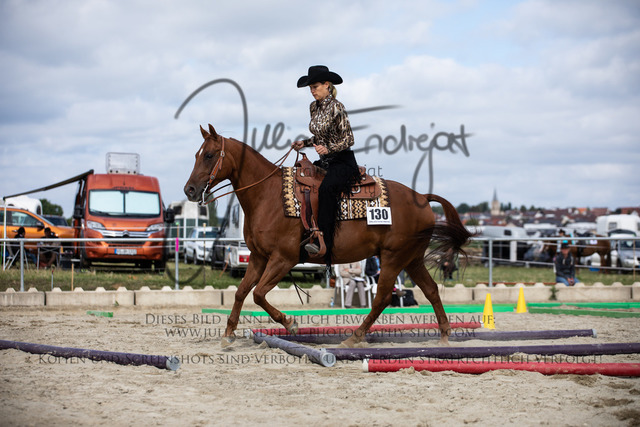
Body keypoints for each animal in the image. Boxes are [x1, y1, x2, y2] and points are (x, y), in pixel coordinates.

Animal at [184, 124, 472, 348]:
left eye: (209, 155)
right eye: (196, 154)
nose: (189, 190)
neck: (267, 195)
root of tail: (422, 198)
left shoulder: (283, 259)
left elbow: (258, 294)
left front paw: (290, 323)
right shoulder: (257, 258)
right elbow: (242, 292)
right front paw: (228, 334)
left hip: (393, 258)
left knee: (382, 297)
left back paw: (354, 337)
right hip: (411, 259)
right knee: (431, 290)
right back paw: (444, 336)